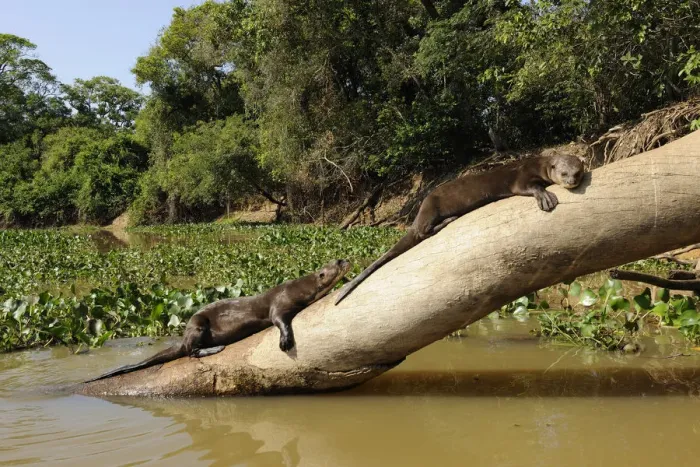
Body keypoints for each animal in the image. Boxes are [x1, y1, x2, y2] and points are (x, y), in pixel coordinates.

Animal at [86, 259, 352, 382]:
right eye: (338, 262)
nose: (346, 259)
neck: (301, 286)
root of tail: (183, 335)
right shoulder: (280, 303)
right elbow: (279, 320)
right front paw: (285, 341)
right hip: (198, 325)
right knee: (190, 352)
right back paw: (214, 349)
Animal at [334, 154, 585, 305]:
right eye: (563, 173)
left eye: (578, 172)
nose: (572, 181)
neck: (539, 164)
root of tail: (419, 211)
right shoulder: (521, 178)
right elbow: (529, 187)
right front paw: (545, 196)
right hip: (431, 208)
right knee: (423, 232)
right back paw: (448, 220)